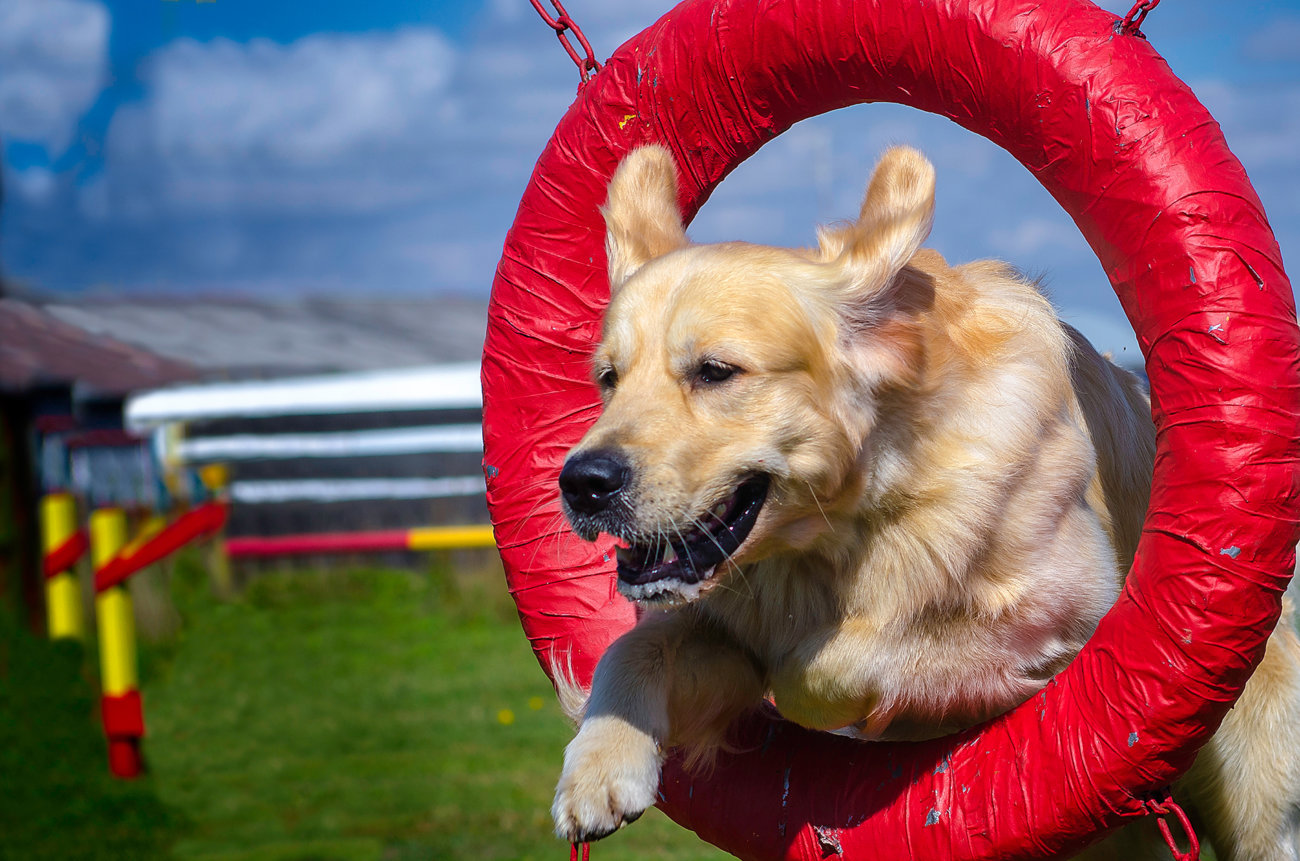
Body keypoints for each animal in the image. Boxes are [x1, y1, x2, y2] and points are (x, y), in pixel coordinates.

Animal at [548, 145, 1300, 858]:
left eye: (715, 372)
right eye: (608, 378)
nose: (582, 482)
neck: (849, 526)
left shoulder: (1068, 607)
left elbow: (833, 659)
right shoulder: (727, 625)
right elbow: (634, 649)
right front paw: (597, 771)